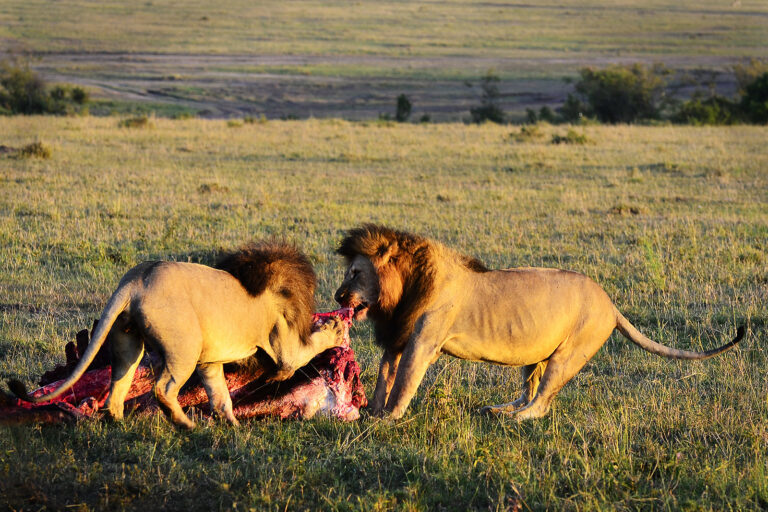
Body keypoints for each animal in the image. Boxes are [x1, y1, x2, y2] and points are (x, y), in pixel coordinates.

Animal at [9, 242, 344, 429]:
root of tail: (137, 279)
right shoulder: (283, 348)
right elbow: (306, 350)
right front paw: (335, 329)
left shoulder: (210, 363)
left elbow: (221, 396)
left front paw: (234, 426)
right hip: (184, 348)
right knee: (163, 389)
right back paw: (186, 425)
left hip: (127, 341)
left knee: (117, 385)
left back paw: (117, 421)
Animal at [334, 224, 743, 420]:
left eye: (355, 273)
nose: (338, 297)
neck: (401, 292)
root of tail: (611, 304)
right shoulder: (398, 335)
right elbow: (385, 376)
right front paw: (373, 411)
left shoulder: (423, 341)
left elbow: (404, 381)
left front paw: (388, 418)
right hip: (534, 354)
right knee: (528, 390)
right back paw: (499, 409)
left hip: (570, 354)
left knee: (543, 402)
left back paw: (517, 419)